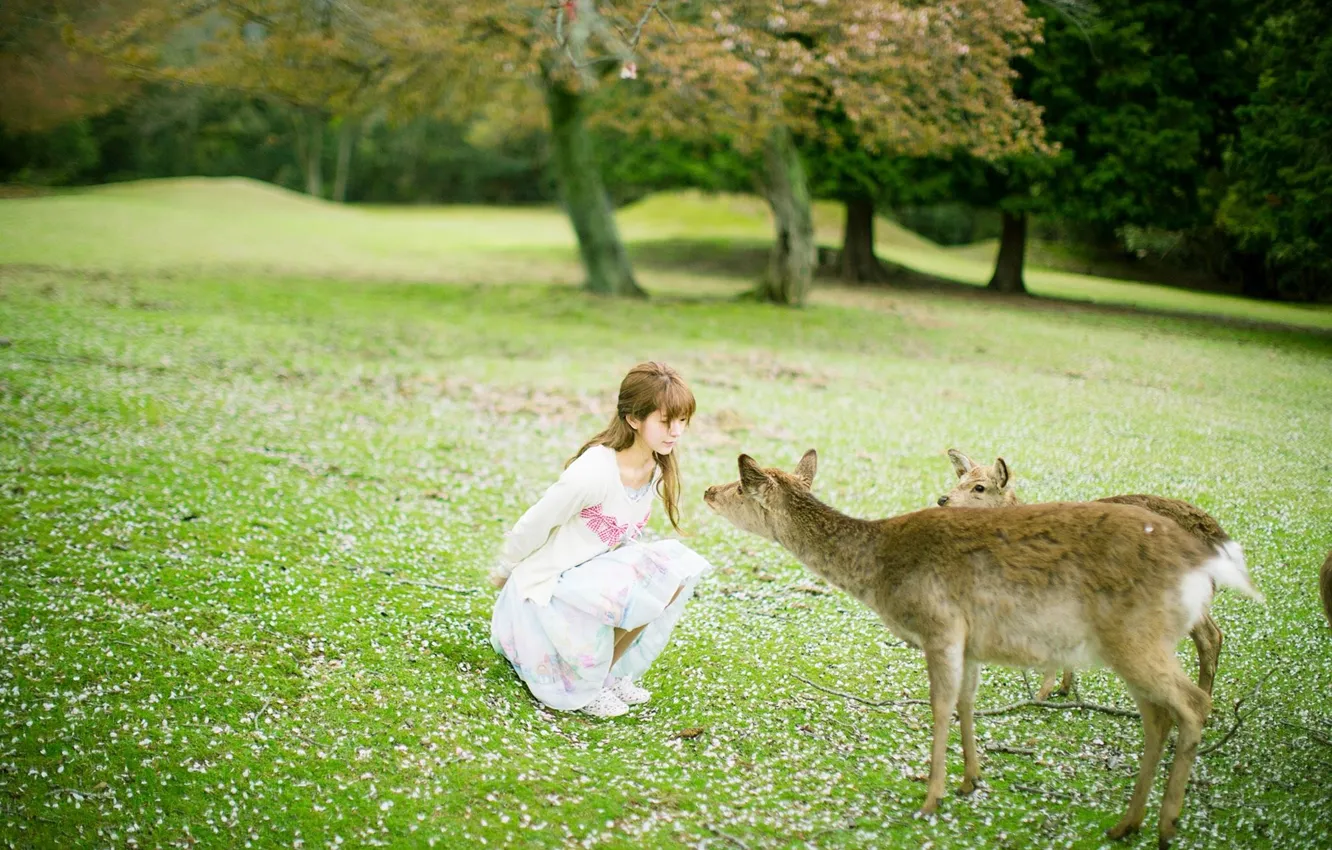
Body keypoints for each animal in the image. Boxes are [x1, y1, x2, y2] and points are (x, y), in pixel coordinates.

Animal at [937, 449, 1227, 700]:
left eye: (979, 487)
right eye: (960, 479)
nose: (943, 500)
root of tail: (1215, 533)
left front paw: (1042, 694)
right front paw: (1063, 688)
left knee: (1210, 636)